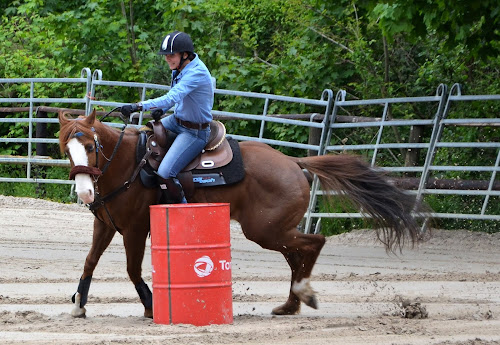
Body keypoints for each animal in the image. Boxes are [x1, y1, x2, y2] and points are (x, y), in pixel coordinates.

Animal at [59, 109, 426, 318]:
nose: (85, 192)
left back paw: (303, 293)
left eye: (90, 146)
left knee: (314, 242)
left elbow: (133, 270)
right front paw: (78, 303)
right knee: (298, 254)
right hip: (275, 230)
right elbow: (90, 261)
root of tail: (293, 162)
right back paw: (290, 304)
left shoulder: (135, 229)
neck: (127, 165)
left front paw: (151, 307)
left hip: (266, 230)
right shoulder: (105, 225)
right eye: (67, 149)